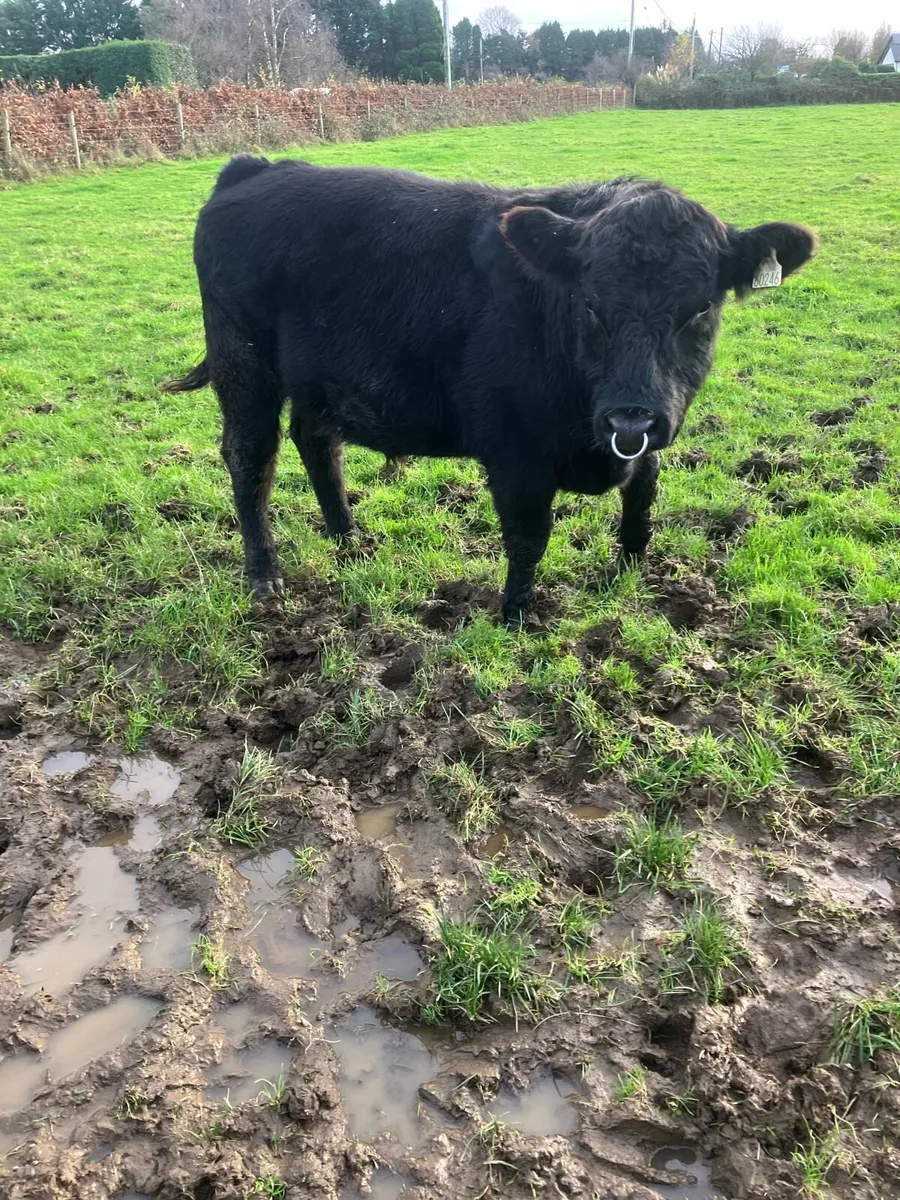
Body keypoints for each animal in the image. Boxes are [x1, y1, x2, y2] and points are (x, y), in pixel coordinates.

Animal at [163, 155, 815, 625]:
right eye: (591, 304)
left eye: (701, 308)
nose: (630, 420)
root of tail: (261, 168)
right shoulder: (514, 452)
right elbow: (529, 536)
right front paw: (516, 618)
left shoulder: (649, 439)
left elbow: (643, 500)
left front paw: (629, 572)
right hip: (243, 363)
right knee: (251, 458)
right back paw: (265, 576)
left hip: (318, 380)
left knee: (316, 442)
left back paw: (350, 540)